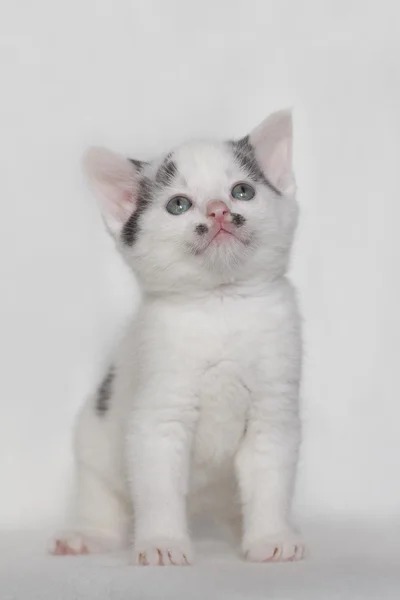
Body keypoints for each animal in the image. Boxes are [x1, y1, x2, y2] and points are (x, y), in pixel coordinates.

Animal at [51, 110, 304, 564]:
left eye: (242, 191)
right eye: (179, 205)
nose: (219, 210)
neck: (220, 305)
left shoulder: (273, 413)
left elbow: (270, 479)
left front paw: (270, 538)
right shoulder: (157, 416)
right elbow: (158, 489)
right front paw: (163, 544)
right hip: (93, 440)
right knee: (102, 498)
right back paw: (87, 535)